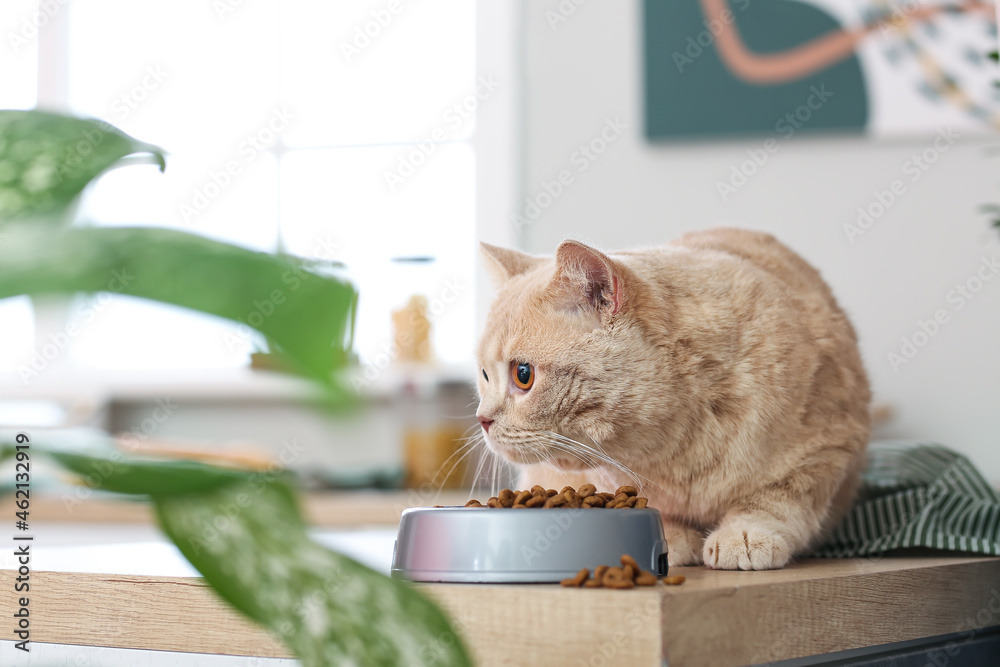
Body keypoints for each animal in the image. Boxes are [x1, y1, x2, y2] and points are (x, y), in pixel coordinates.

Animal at [472, 228, 872, 568]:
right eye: (485, 375)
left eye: (523, 375)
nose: (483, 420)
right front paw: (672, 535)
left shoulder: (826, 448)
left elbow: (777, 499)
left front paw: (745, 532)